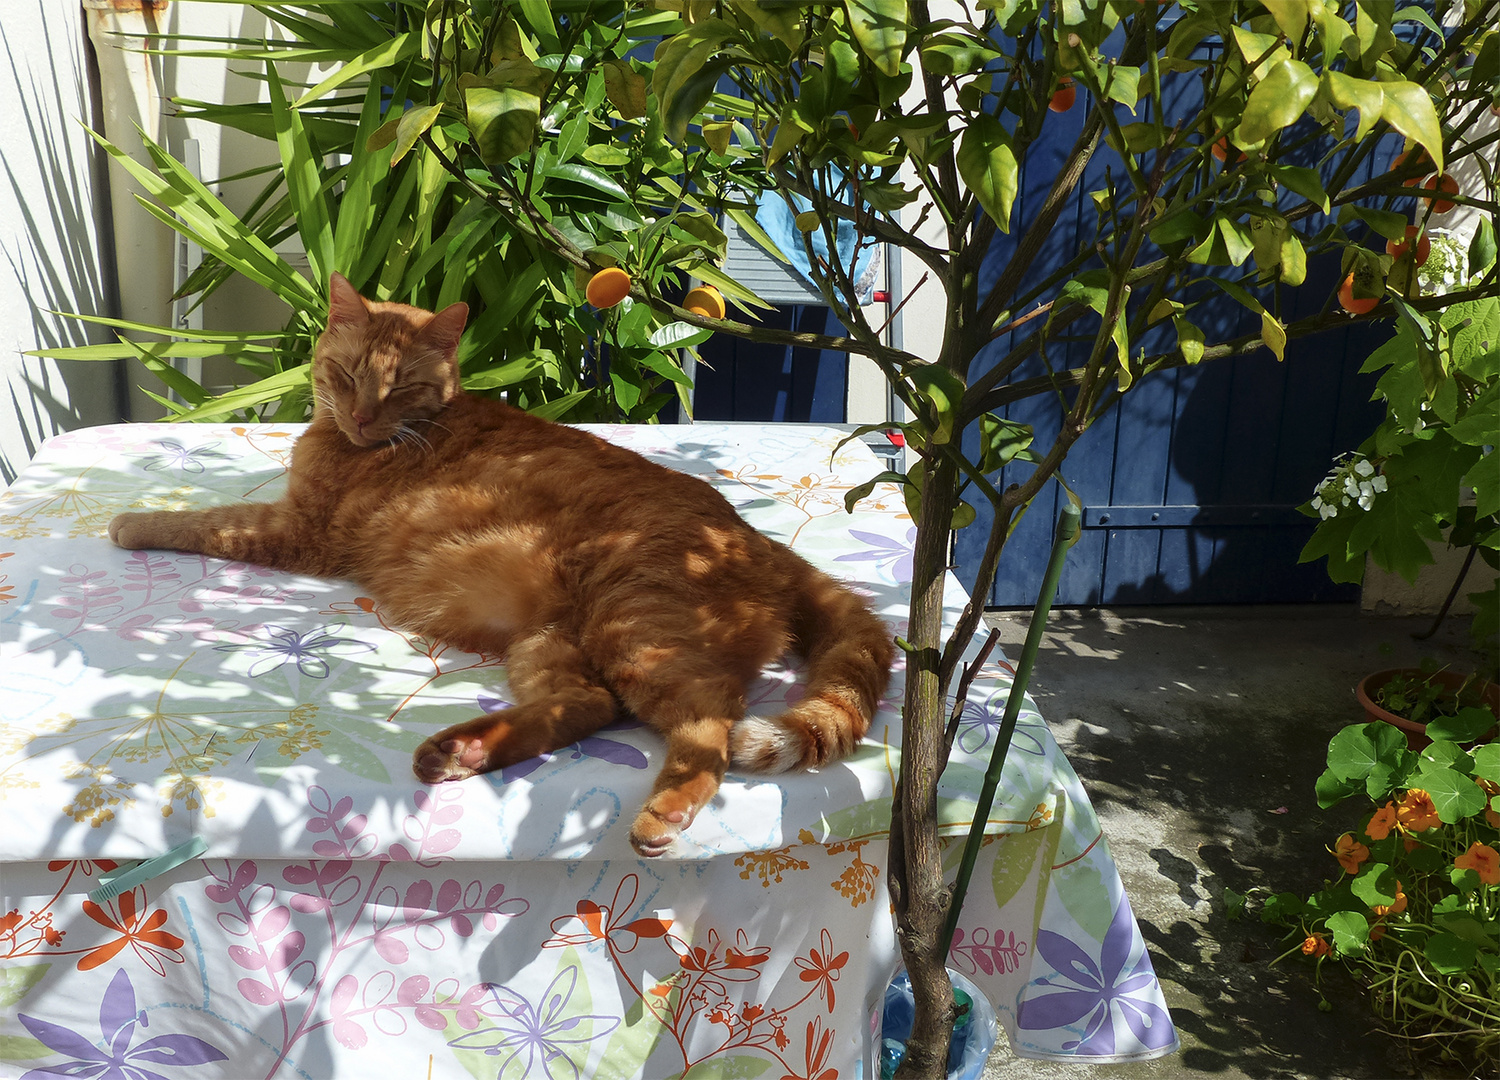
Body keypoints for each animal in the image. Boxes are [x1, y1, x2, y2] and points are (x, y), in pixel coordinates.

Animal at [117, 274, 894, 858]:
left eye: (399, 389)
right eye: (345, 373)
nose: (362, 418)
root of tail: (761, 541)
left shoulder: (297, 530)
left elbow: (204, 519)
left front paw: (130, 520)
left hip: (636, 625)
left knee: (710, 723)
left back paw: (663, 815)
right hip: (553, 640)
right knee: (588, 705)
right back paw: (459, 752)